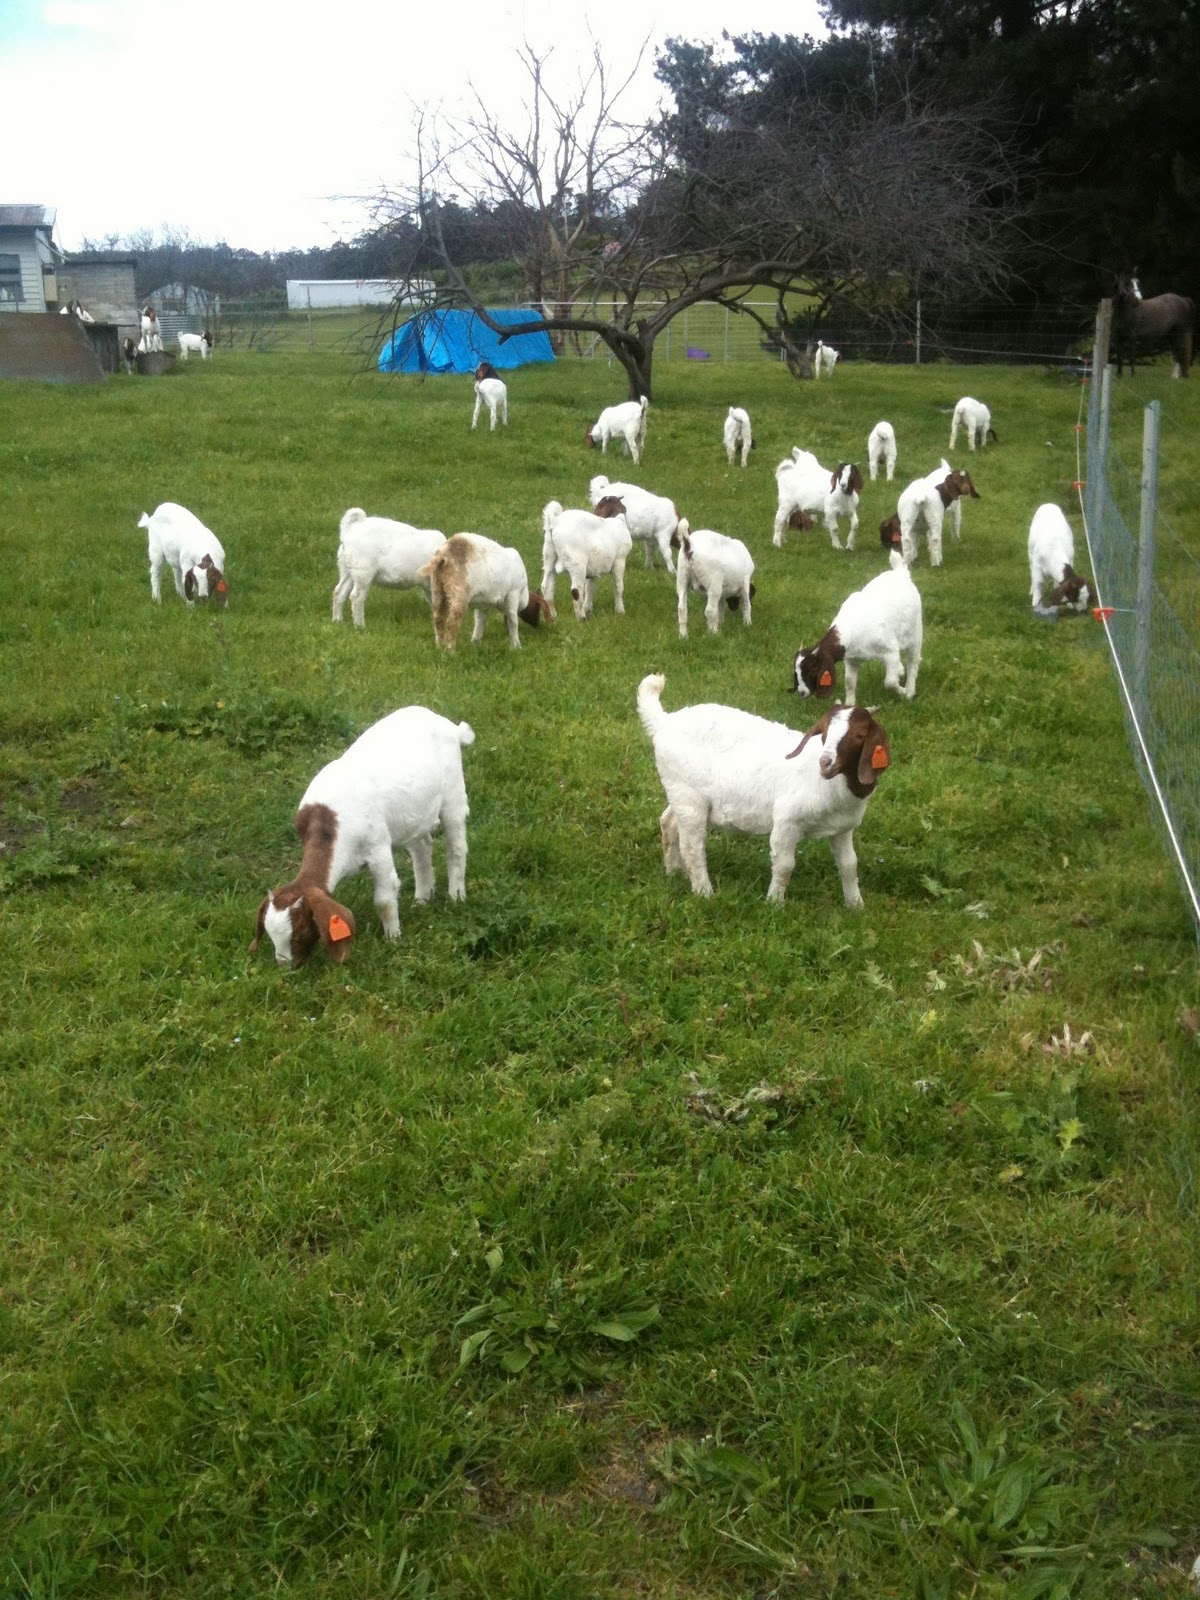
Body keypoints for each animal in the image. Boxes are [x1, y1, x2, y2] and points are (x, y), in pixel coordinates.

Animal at [249, 707, 473, 967]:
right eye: (269, 934)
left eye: (301, 932)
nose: (286, 966)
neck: (330, 822)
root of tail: (448, 725)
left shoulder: (378, 847)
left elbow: (384, 901)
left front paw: (393, 940)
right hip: (413, 813)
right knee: (422, 848)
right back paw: (422, 900)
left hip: (454, 792)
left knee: (456, 847)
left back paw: (456, 897)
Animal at [418, 533, 552, 650]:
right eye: (538, 609)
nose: (537, 625)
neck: (523, 595)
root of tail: (444, 553)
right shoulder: (513, 594)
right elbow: (513, 621)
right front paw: (516, 646)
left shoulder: (482, 605)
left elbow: (479, 622)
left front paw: (475, 643)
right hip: (459, 591)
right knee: (452, 623)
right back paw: (450, 652)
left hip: (437, 589)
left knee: (438, 619)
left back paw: (439, 648)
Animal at [637, 674, 891, 909]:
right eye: (825, 733)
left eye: (859, 735)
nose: (825, 763)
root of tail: (665, 721)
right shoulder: (786, 820)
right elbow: (785, 866)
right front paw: (775, 904)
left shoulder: (842, 829)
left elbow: (849, 865)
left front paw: (856, 906)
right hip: (689, 797)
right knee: (692, 846)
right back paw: (704, 892)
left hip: (680, 793)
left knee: (669, 823)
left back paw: (673, 872)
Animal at [791, 551, 922, 702]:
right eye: (796, 672)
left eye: (812, 669)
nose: (802, 692)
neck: (853, 629)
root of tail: (900, 572)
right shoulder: (851, 659)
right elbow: (849, 682)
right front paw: (849, 704)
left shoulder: (891, 650)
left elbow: (889, 682)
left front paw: (903, 692)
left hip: (915, 632)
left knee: (913, 661)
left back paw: (910, 690)